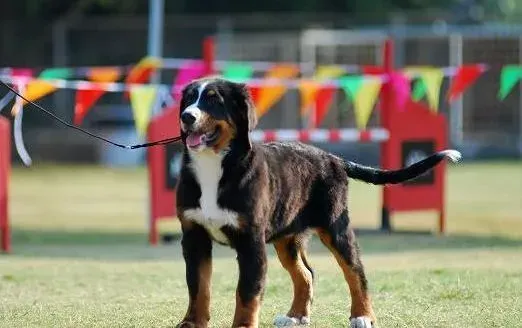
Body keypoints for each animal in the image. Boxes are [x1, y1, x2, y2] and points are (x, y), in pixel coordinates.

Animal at [175, 77, 460, 328]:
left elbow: (247, 292)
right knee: (306, 275)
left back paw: (363, 316)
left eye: (214, 100)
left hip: (336, 228)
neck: (214, 166)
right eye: (189, 99)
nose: (187, 116)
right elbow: (198, 287)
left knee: (356, 271)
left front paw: (243, 325)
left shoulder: (251, 242)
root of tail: (333, 158)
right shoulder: (194, 237)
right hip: (288, 237)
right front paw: (192, 322)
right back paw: (296, 316)